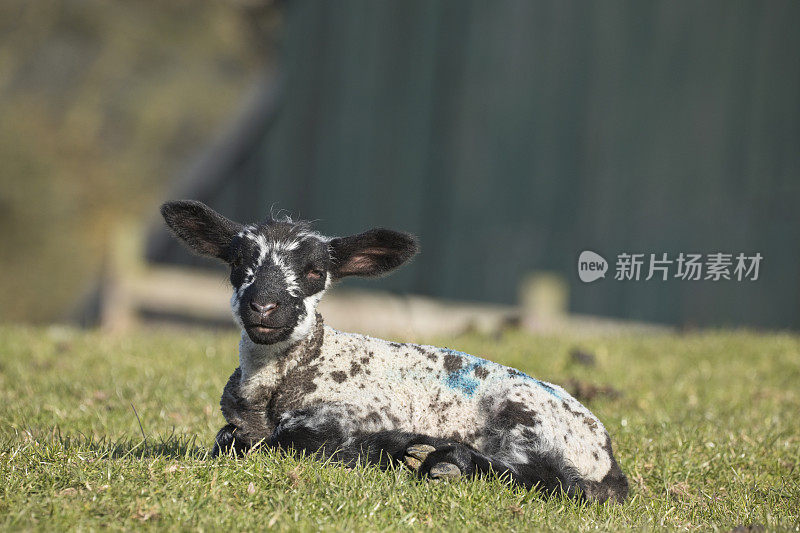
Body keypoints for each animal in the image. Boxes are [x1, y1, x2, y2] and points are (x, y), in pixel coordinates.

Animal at [159, 201, 628, 502]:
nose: (263, 306)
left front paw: (396, 449)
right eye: (238, 262)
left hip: (525, 420)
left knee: (555, 482)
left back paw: (443, 460)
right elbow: (229, 439)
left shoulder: (348, 416)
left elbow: (300, 442)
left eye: (314, 271)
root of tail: (606, 454)